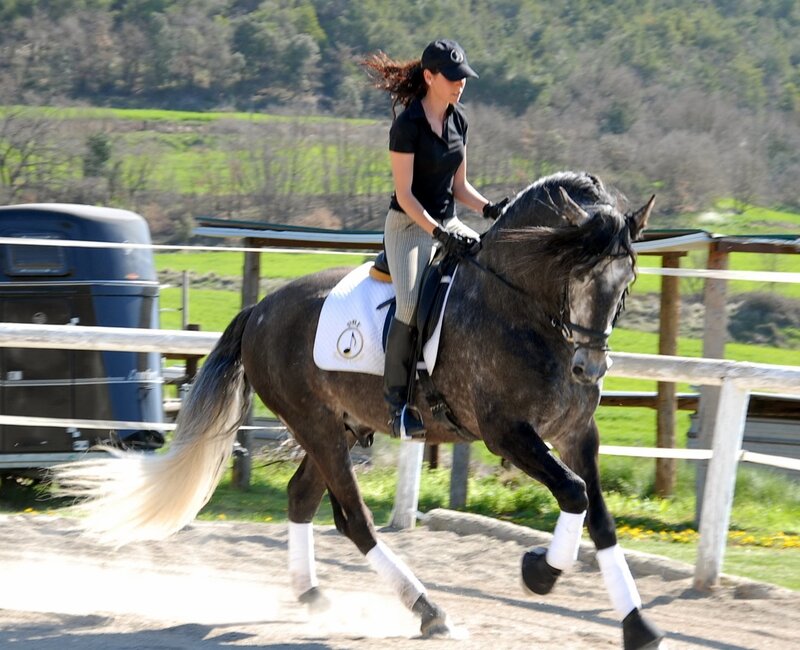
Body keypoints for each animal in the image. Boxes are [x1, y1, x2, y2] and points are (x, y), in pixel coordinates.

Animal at [53, 171, 663, 649]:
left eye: (628, 280)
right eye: (579, 275)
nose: (590, 369)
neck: (520, 308)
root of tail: (259, 310)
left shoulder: (577, 433)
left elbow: (599, 516)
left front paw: (638, 626)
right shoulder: (506, 432)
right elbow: (575, 495)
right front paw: (539, 572)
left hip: (340, 428)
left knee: (302, 498)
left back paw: (312, 595)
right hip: (317, 426)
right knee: (354, 519)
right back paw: (428, 611)